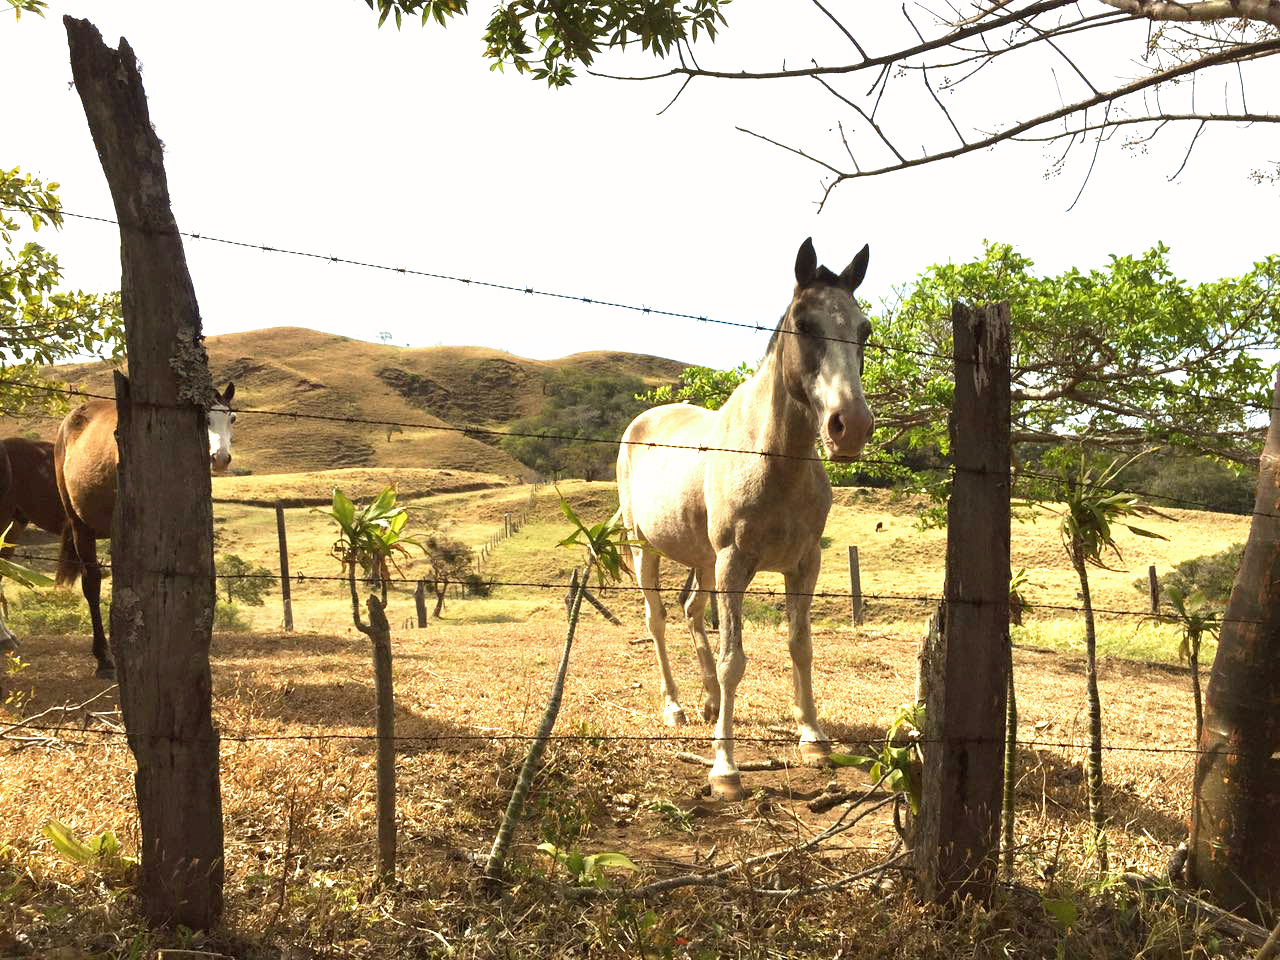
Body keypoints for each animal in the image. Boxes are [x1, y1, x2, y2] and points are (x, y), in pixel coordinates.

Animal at [55, 378, 238, 680]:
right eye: (203, 418)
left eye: (231, 418)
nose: (220, 458)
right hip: (81, 526)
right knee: (91, 584)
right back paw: (104, 658)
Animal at [614, 240, 875, 803]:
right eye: (804, 323)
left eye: (863, 329)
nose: (850, 426)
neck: (774, 458)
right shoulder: (735, 564)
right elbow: (735, 658)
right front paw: (725, 767)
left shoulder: (804, 564)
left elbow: (800, 645)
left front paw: (813, 739)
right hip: (647, 549)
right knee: (658, 619)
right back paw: (676, 706)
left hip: (702, 560)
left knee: (691, 610)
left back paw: (709, 702)